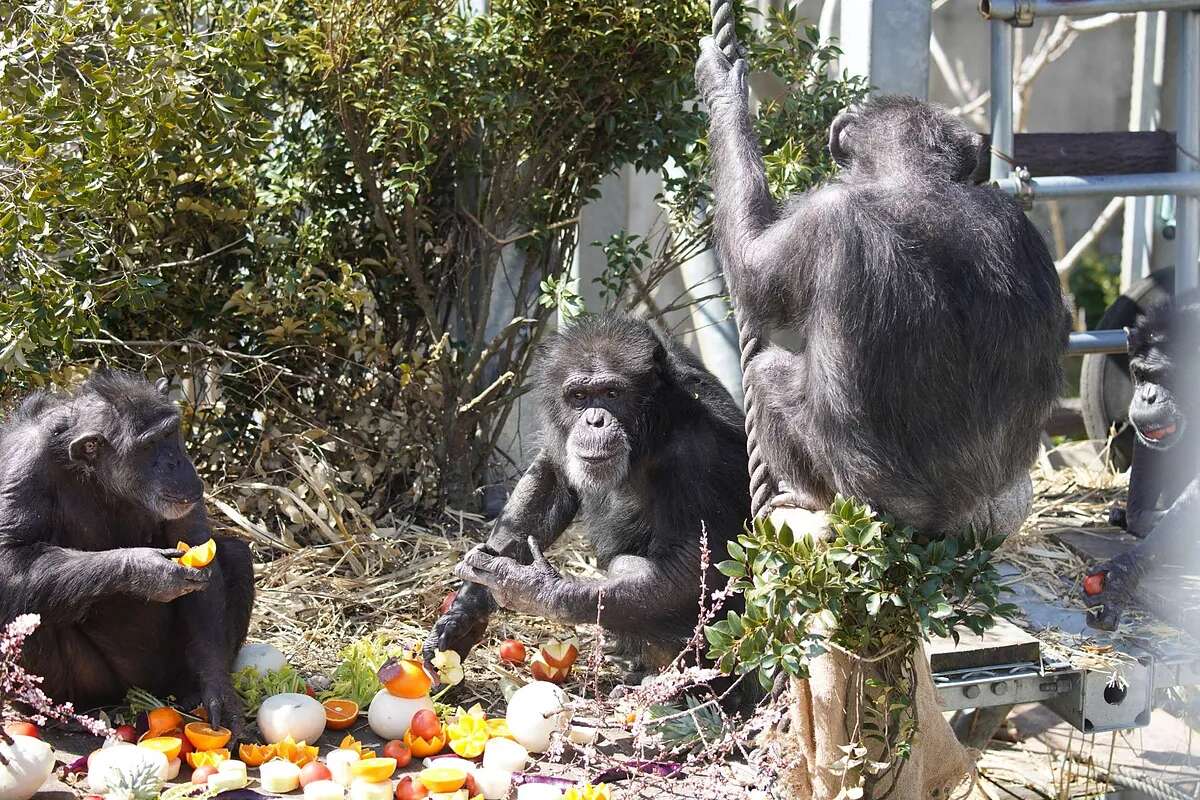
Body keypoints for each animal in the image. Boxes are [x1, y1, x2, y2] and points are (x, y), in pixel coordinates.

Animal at [0, 371, 253, 734]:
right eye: (148, 446)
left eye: (170, 434)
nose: (176, 461)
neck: (97, 475)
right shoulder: (23, 465)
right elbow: (11, 558)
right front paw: (147, 571)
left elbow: (195, 541)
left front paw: (220, 692)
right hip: (101, 683)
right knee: (24, 608)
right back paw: (63, 713)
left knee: (235, 555)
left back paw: (191, 692)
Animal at [424, 316, 748, 671]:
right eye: (579, 396)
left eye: (611, 393)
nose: (595, 420)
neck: (653, 426)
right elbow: (549, 480)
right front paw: (463, 614)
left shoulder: (699, 452)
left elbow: (694, 565)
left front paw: (530, 587)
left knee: (628, 568)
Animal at [696, 40, 1070, 534]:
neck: (919, 180)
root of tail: (950, 517)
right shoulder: (1016, 221)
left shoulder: (823, 215)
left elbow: (749, 271)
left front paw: (723, 89)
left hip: (851, 496)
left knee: (765, 373)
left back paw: (800, 495)